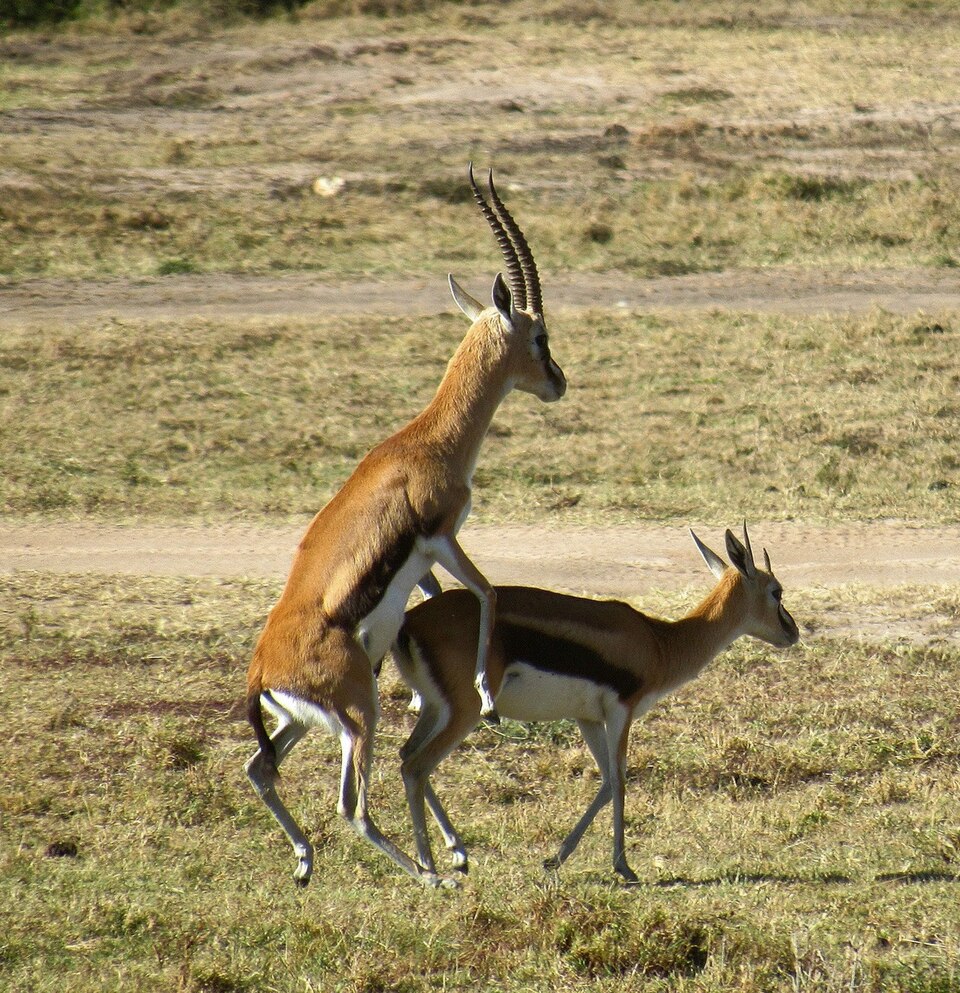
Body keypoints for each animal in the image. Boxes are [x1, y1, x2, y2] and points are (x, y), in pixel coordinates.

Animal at [244, 165, 566, 888]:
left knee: (259, 768)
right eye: (539, 338)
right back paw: (429, 876)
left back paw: (307, 862)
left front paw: (455, 841)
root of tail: (262, 672)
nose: (559, 381)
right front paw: (487, 695)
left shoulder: (421, 566)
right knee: (352, 805)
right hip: (356, 717)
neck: (426, 441)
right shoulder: (444, 536)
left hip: (310, 724)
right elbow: (487, 592)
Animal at [392, 525, 799, 882]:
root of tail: (410, 622)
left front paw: (555, 859)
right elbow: (619, 779)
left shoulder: (587, 718)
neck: (659, 642)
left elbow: (605, 782)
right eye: (776, 591)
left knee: (406, 756)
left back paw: (458, 855)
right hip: (465, 712)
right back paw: (431, 867)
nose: (792, 632)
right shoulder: (622, 711)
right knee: (416, 766)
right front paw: (624, 866)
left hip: (436, 709)